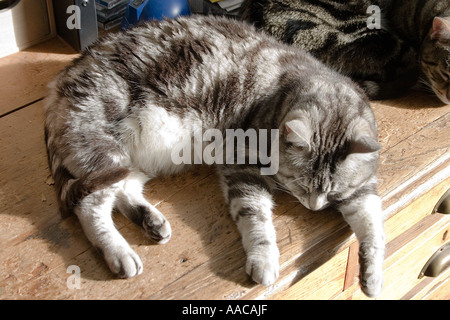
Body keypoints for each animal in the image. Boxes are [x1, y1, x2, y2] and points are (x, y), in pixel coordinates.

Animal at [44, 16, 384, 298]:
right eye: (300, 186)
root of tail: (61, 79)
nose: (314, 207)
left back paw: (151, 222)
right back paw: (120, 252)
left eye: (333, 192)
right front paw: (264, 260)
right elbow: (257, 218)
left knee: (124, 192)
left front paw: (373, 277)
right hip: (104, 152)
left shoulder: (363, 191)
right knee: (91, 207)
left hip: (128, 162)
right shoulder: (241, 164)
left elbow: (374, 229)